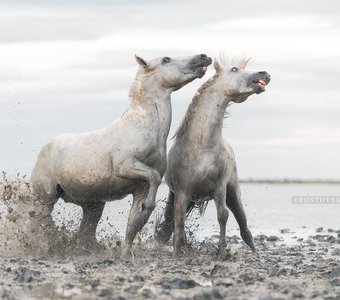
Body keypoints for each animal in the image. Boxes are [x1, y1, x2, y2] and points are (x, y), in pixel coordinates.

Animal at [31, 54, 212, 258]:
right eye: (166, 59)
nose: (203, 57)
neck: (144, 126)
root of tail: (45, 149)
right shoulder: (125, 166)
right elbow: (154, 178)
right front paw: (146, 211)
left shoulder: (140, 188)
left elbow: (133, 223)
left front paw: (126, 253)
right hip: (45, 198)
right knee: (39, 222)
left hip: (93, 206)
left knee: (86, 229)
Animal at [156, 56, 270, 258]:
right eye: (234, 69)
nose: (264, 74)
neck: (202, 147)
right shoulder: (182, 192)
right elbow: (178, 221)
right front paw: (176, 253)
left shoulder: (219, 189)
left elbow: (223, 216)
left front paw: (222, 252)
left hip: (233, 192)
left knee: (244, 225)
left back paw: (255, 252)